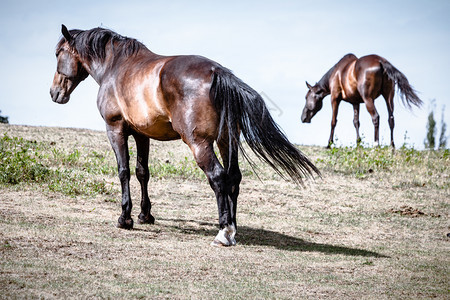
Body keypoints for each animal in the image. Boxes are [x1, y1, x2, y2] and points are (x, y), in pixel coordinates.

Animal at [50, 25, 320, 246]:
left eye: (57, 53)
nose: (54, 93)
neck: (116, 67)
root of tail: (218, 72)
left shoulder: (115, 129)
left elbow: (123, 171)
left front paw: (125, 218)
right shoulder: (142, 134)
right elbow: (142, 172)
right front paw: (145, 215)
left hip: (200, 144)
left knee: (218, 177)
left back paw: (224, 232)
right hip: (227, 140)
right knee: (233, 177)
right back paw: (233, 228)